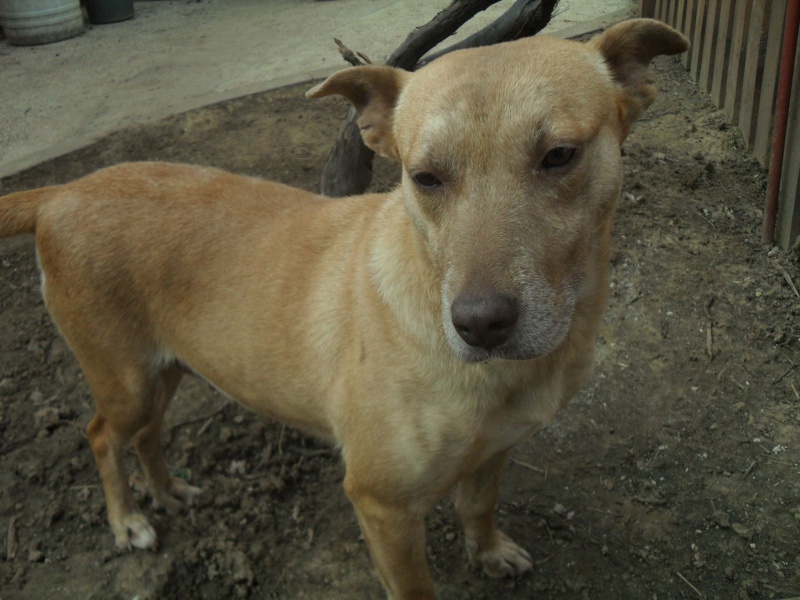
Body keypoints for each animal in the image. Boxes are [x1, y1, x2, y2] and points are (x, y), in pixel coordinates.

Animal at [0, 18, 688, 600]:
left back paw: (168, 492)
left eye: (560, 155)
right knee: (100, 436)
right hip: (124, 378)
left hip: (164, 368)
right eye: (423, 177)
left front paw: (488, 550)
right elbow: (415, 588)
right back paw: (128, 521)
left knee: (145, 434)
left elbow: (478, 505)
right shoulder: (383, 508)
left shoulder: (495, 449)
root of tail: (63, 190)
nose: (479, 324)